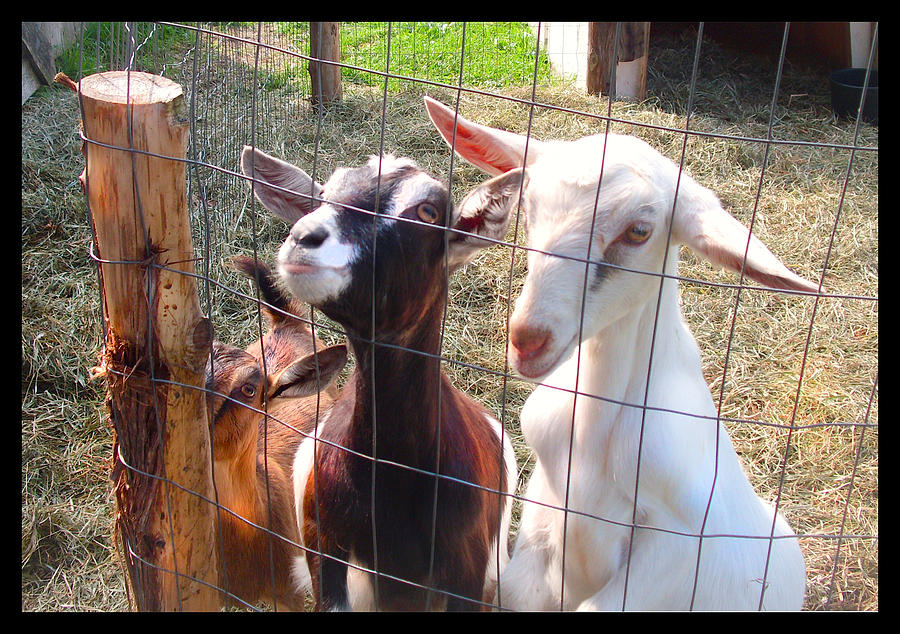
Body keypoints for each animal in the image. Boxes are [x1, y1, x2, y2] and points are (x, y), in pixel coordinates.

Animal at [426, 97, 812, 608]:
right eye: (529, 209)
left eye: (639, 231)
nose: (528, 339)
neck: (593, 441)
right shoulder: (544, 509)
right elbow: (514, 589)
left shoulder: (673, 546)